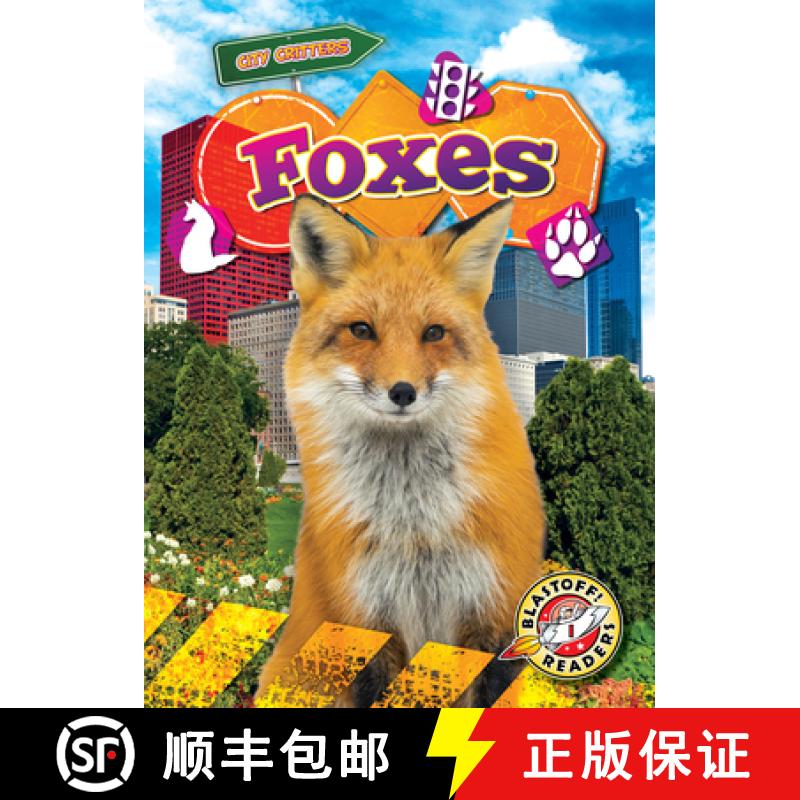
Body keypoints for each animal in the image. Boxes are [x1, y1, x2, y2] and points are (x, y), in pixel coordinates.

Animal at [255, 194, 546, 707]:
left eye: (433, 333)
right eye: (361, 330)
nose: (403, 392)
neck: (416, 530)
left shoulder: (495, 618)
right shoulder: (364, 623)